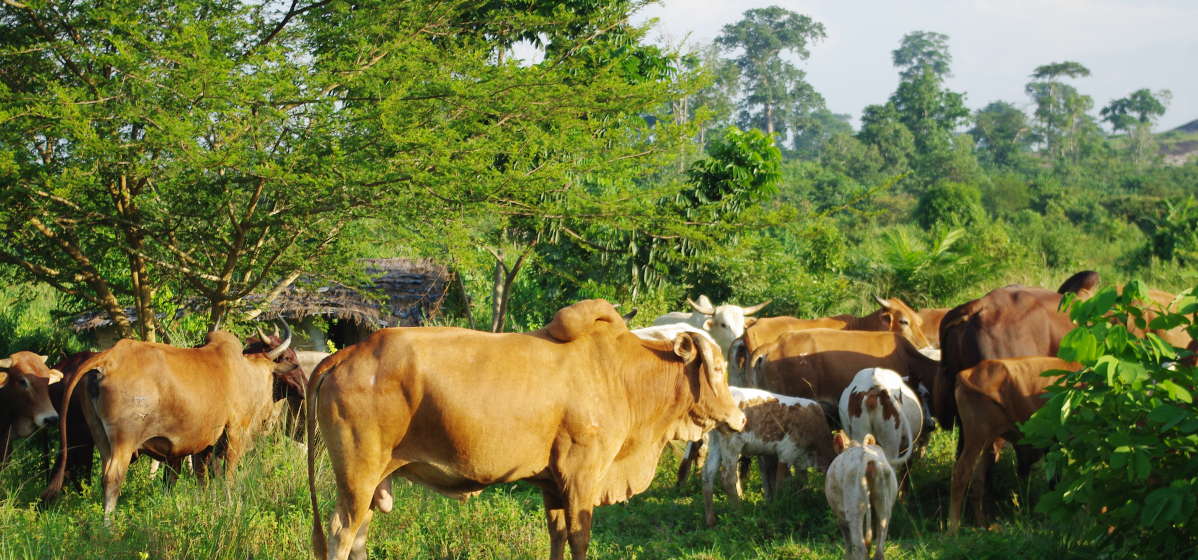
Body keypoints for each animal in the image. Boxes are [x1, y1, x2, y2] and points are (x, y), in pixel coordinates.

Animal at [42, 323, 297, 513]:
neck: (245, 371)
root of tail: (109, 359)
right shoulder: (235, 431)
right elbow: (228, 474)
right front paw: (230, 503)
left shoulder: (203, 444)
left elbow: (203, 477)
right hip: (124, 440)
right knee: (112, 479)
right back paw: (109, 527)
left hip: (101, 438)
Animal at [304, 299, 742, 560]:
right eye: (719, 369)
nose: (739, 418)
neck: (622, 375)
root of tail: (347, 353)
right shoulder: (582, 477)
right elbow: (580, 537)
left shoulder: (553, 484)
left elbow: (558, 534)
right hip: (358, 477)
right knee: (342, 532)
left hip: (373, 481)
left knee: (359, 535)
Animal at [699, 388, 833, 527]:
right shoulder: (787, 451)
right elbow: (780, 481)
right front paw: (778, 505)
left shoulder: (799, 458)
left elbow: (802, 480)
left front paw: (804, 497)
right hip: (731, 443)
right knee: (728, 478)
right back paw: (739, 513)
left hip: (715, 442)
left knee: (707, 475)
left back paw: (710, 520)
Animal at [948, 357, 1082, 532]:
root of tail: (969, 372)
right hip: (977, 436)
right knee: (961, 473)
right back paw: (953, 529)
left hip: (988, 442)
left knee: (977, 479)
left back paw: (982, 524)